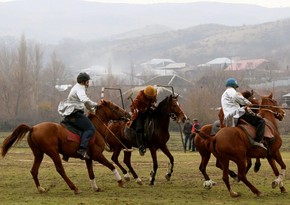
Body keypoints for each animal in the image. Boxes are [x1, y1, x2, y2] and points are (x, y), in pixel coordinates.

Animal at [1, 100, 131, 195]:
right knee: (60, 169)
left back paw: (41, 189)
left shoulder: (88, 158)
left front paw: (95, 188)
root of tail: (33, 128)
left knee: (34, 170)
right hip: (53, 152)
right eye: (116, 107)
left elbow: (91, 173)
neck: (96, 128)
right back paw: (74, 188)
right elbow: (111, 166)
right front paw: (121, 180)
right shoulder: (97, 155)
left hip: (39, 154)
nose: (128, 114)